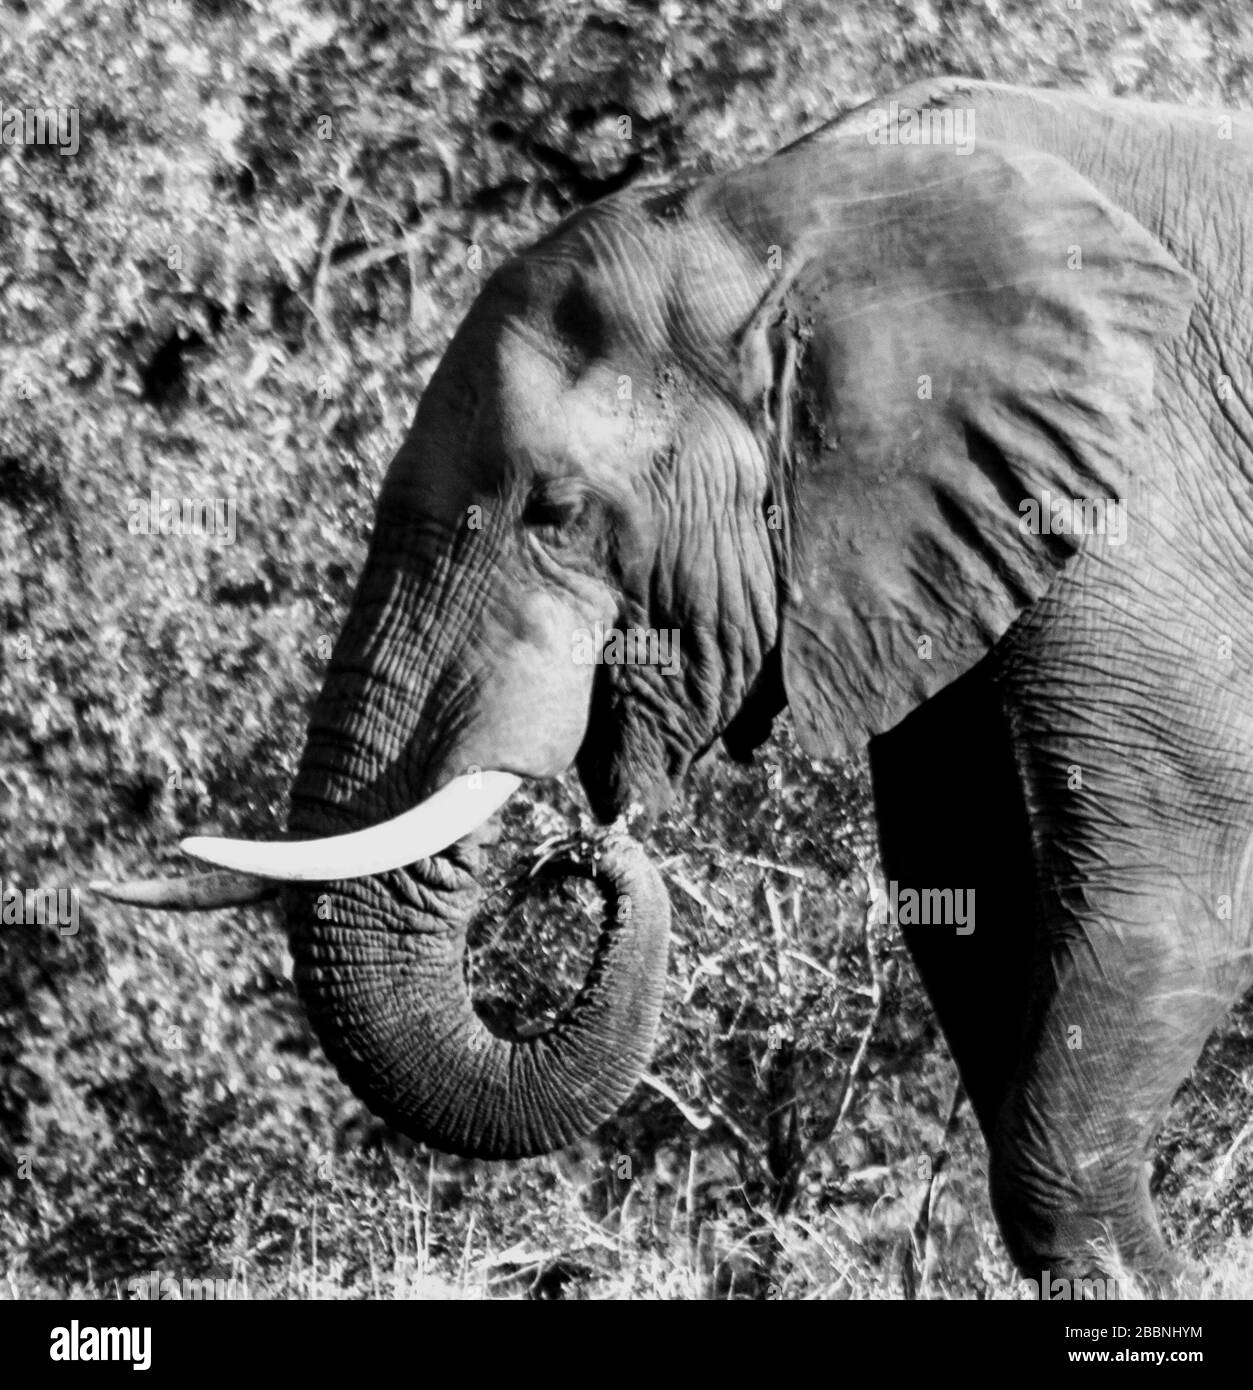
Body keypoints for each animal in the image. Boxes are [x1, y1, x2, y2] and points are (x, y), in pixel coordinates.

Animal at [97, 77, 1253, 1290]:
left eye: (556, 514)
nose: (576, 857)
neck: (790, 219)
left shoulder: (1138, 497)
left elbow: (1165, 880)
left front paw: (1145, 1282)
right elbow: (960, 881)